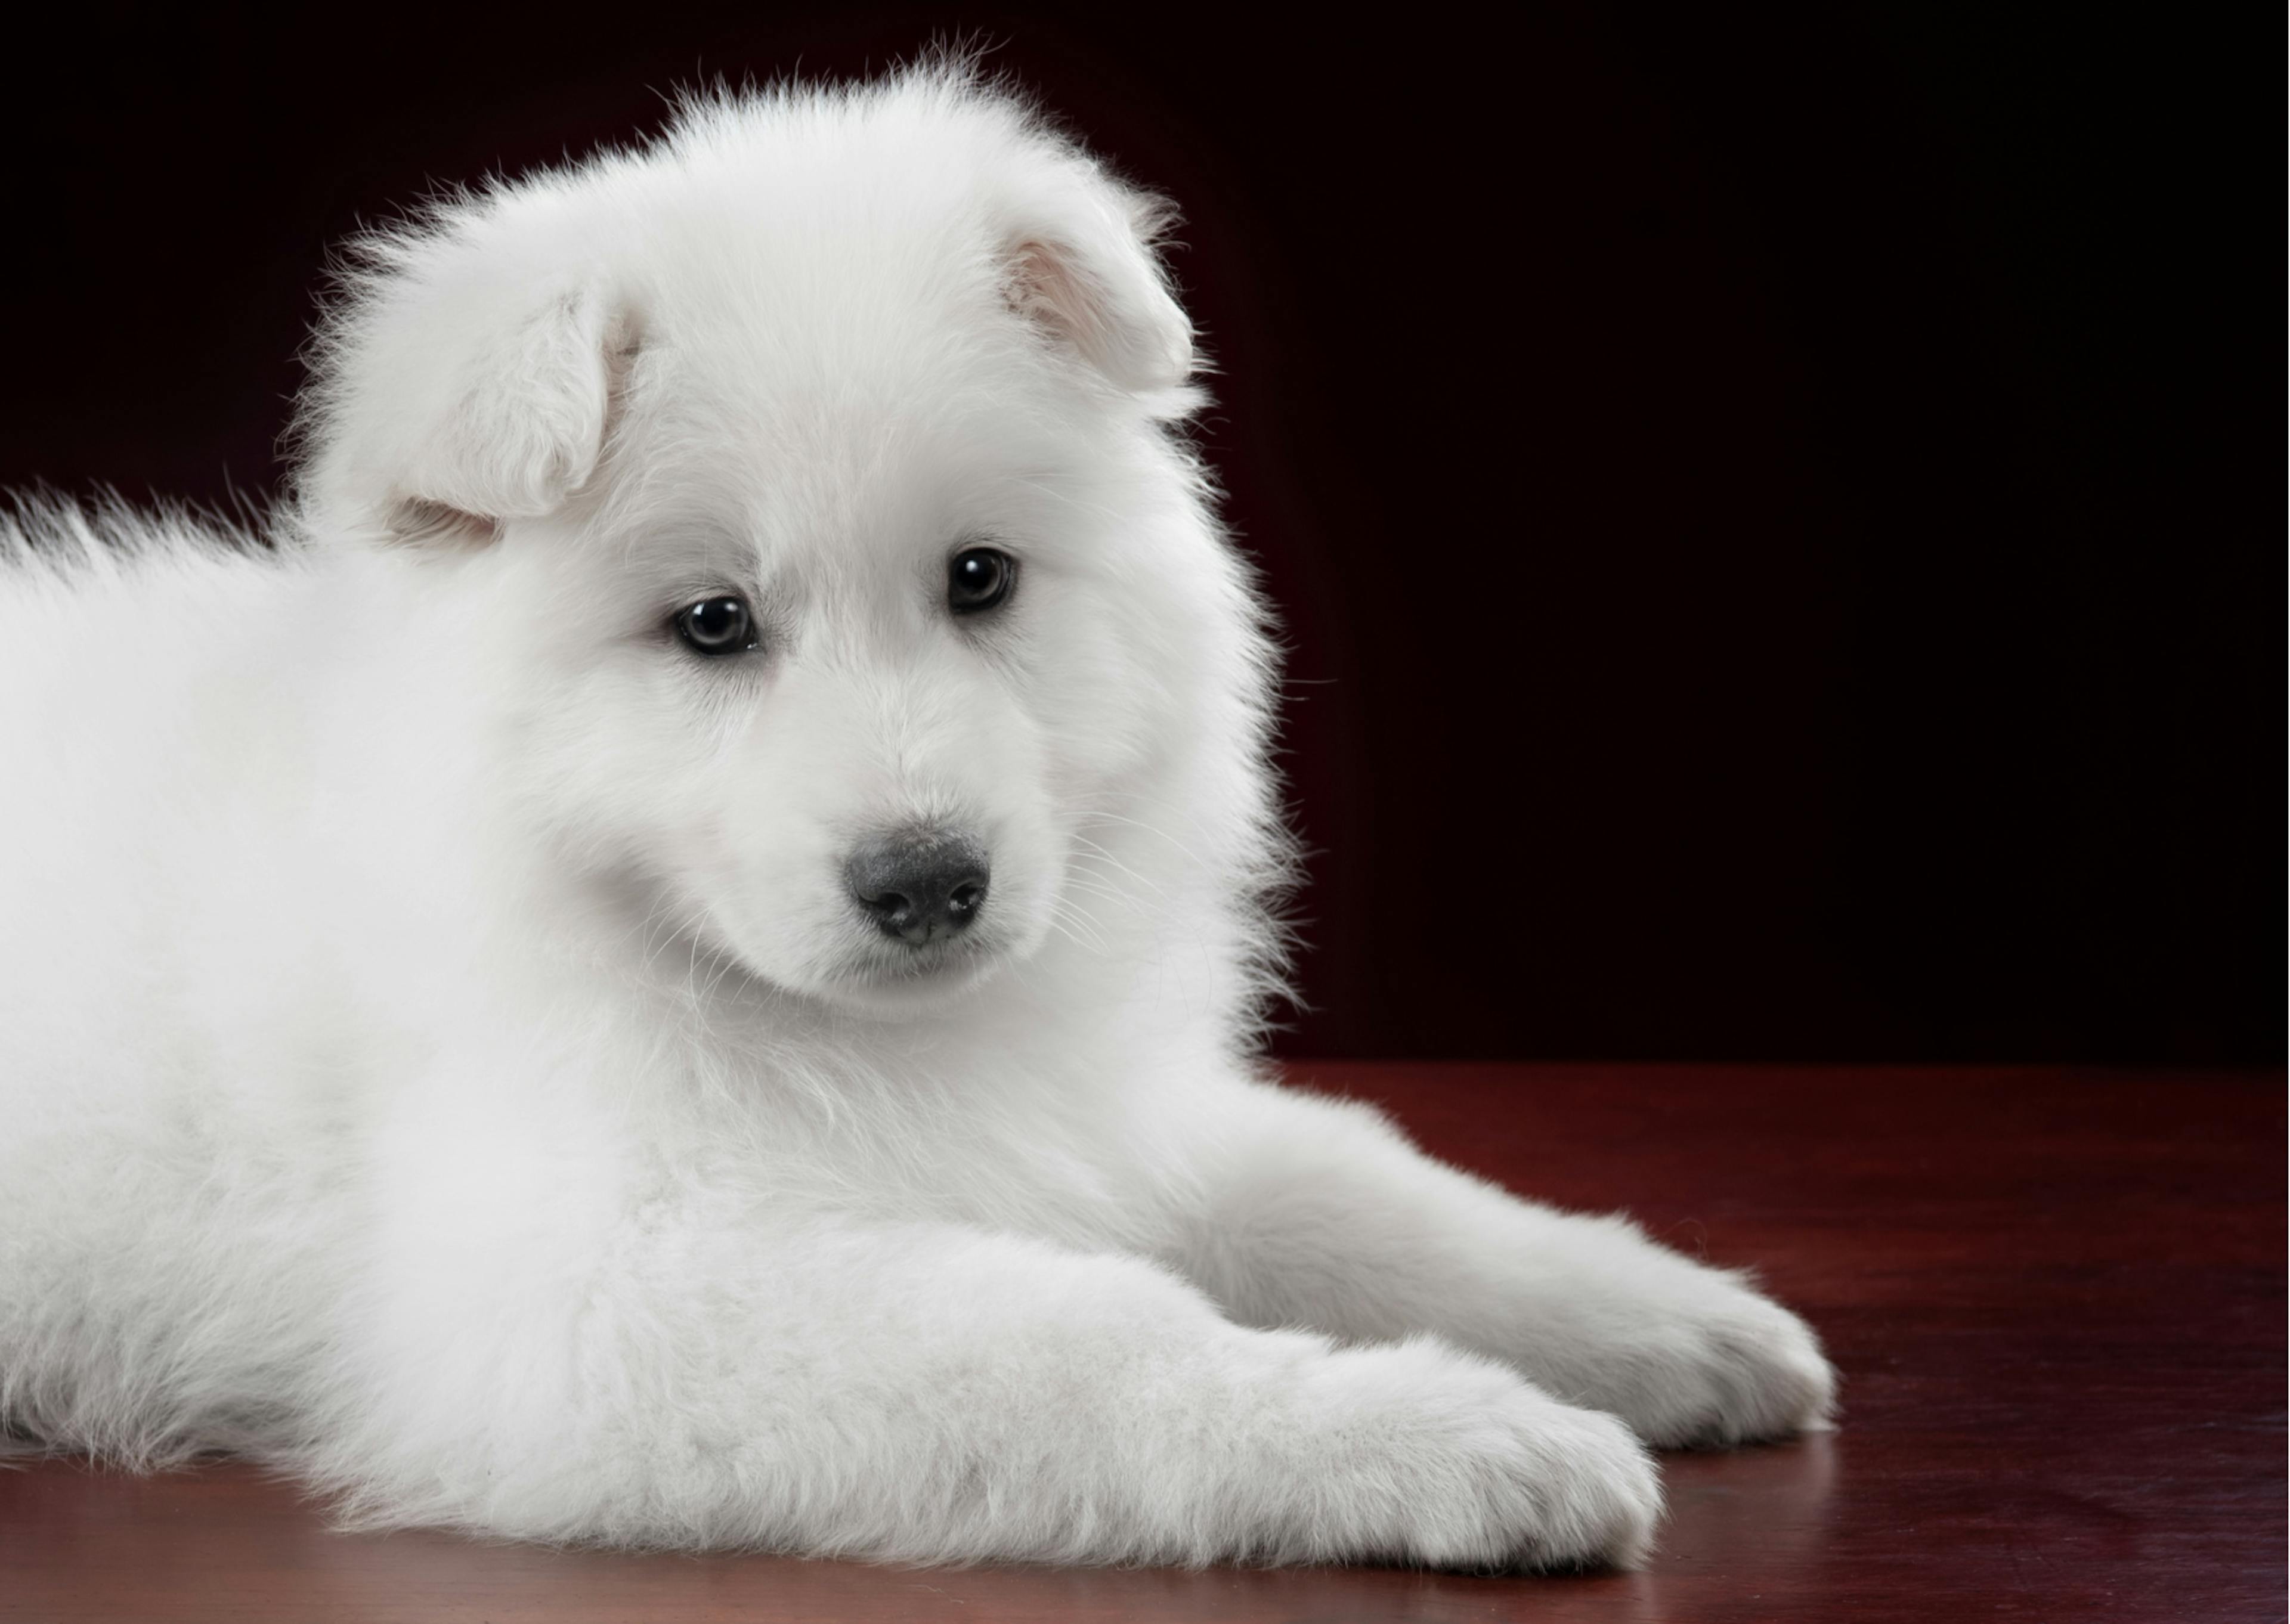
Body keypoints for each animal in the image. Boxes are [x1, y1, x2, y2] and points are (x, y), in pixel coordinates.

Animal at [0, 66, 1832, 1566]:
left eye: (979, 577)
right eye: (714, 624)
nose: (929, 882)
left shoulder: (1100, 1112)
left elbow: (1352, 1186)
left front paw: (1663, 1316)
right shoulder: (597, 1307)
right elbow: (1090, 1344)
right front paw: (1457, 1441)